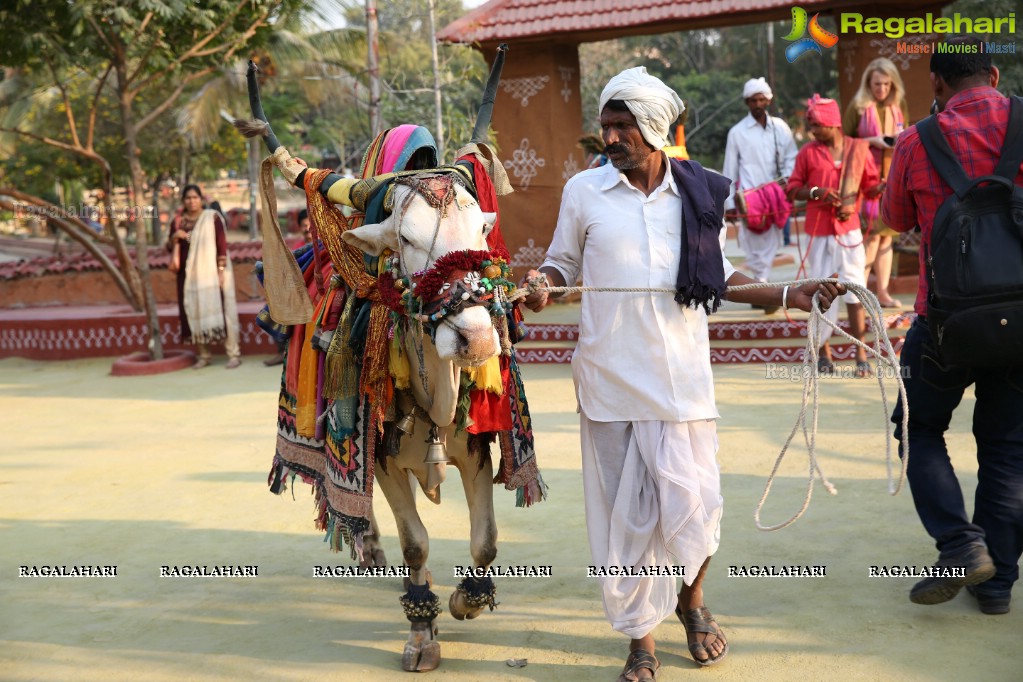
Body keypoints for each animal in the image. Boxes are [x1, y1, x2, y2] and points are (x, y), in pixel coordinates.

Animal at [237, 49, 544, 670]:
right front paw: (422, 630)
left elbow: (486, 540)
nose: (476, 340)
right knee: (350, 501)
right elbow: (416, 542)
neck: (435, 390)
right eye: (405, 239)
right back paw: (370, 544)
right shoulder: (382, 462)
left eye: (481, 232)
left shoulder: (476, 450)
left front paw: (467, 600)